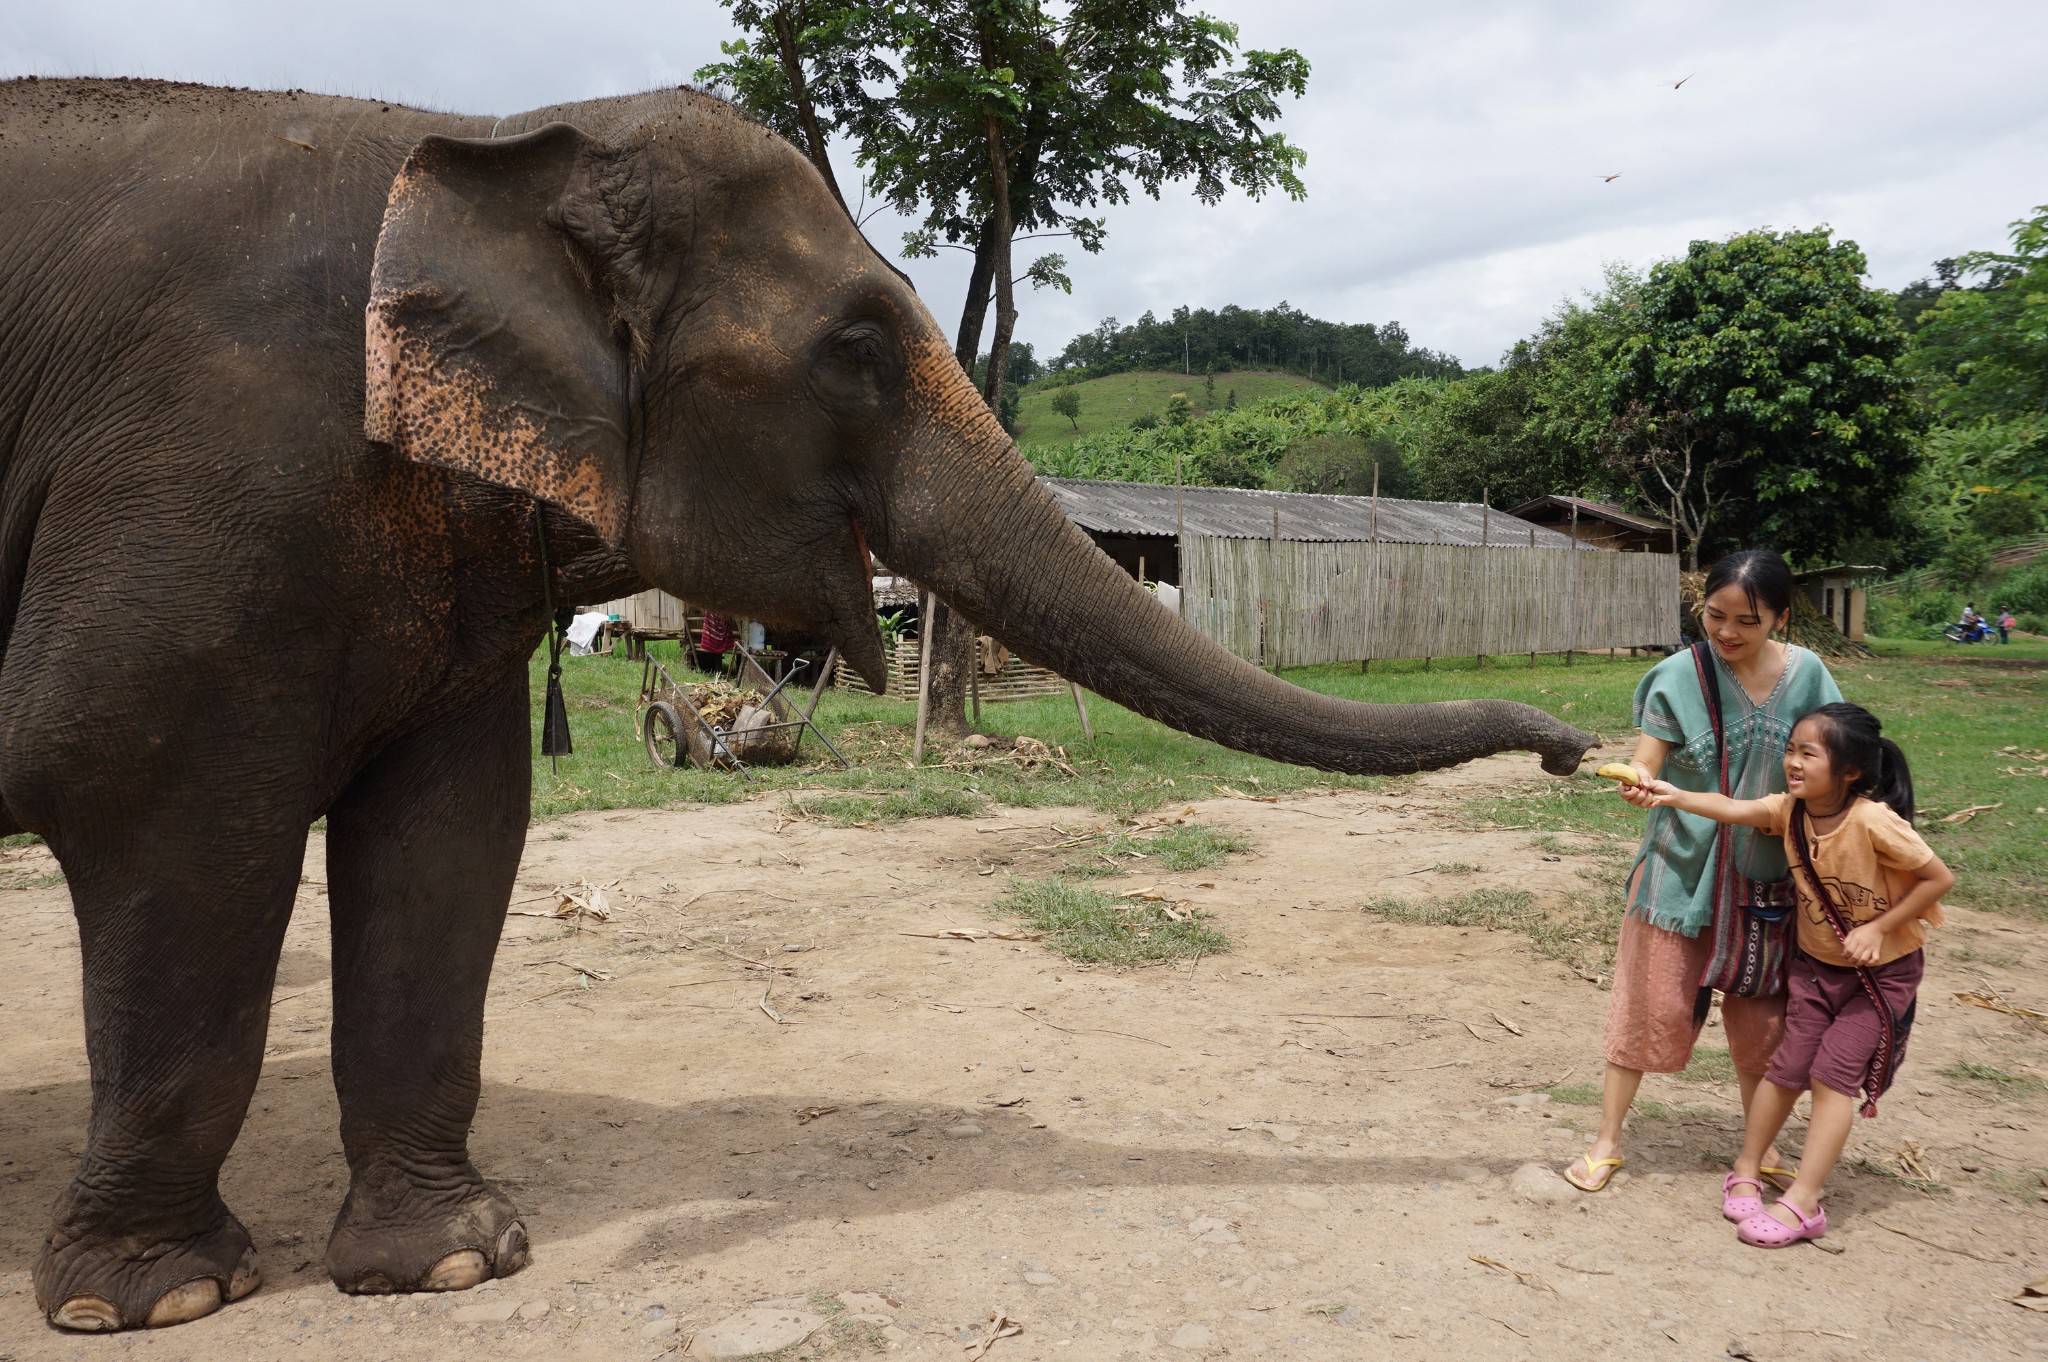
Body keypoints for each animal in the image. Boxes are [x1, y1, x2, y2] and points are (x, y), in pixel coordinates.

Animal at [0, 76, 1597, 1327]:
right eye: (857, 350)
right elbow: (144, 796)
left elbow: (452, 836)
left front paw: (453, 1265)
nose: (1575, 751)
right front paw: (159, 1300)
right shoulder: (198, 483)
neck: (489, 144)